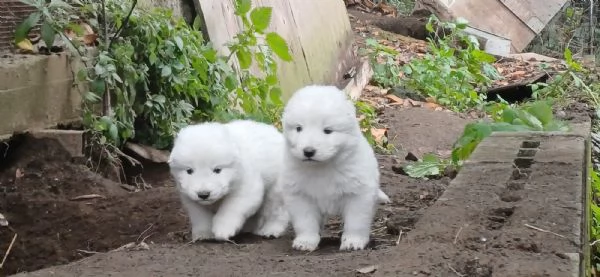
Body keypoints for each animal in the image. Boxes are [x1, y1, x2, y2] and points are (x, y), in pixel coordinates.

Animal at [280, 84, 392, 250]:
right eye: (299, 128)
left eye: (327, 131)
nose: (308, 151)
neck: (322, 167)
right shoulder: (300, 196)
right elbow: (305, 222)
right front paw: (306, 241)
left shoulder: (358, 194)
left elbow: (356, 221)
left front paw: (353, 241)